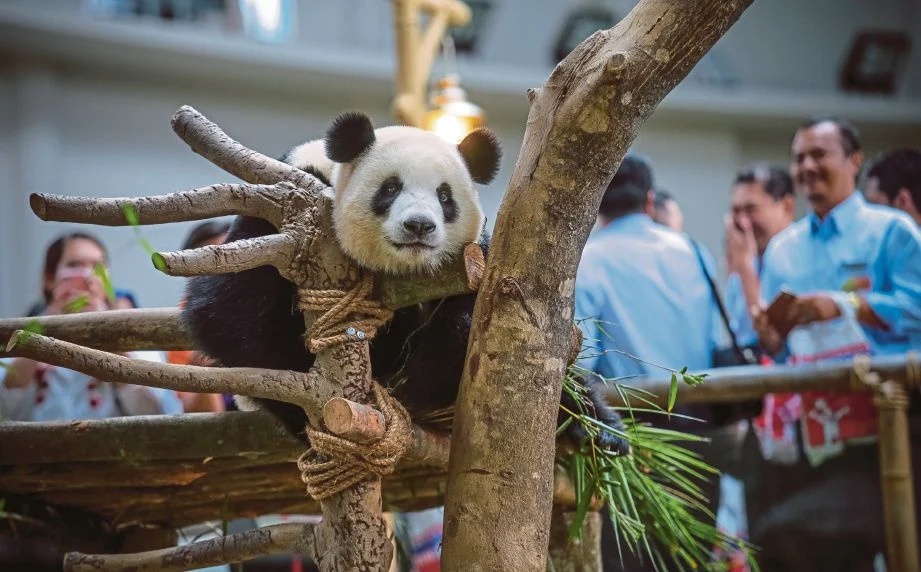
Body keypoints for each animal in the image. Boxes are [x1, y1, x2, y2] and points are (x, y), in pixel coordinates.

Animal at [183, 111, 627, 454]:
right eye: (391, 188)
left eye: (445, 197)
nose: (419, 226)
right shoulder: (285, 216)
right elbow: (228, 317)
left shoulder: (473, 262)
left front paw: (427, 372)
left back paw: (603, 431)